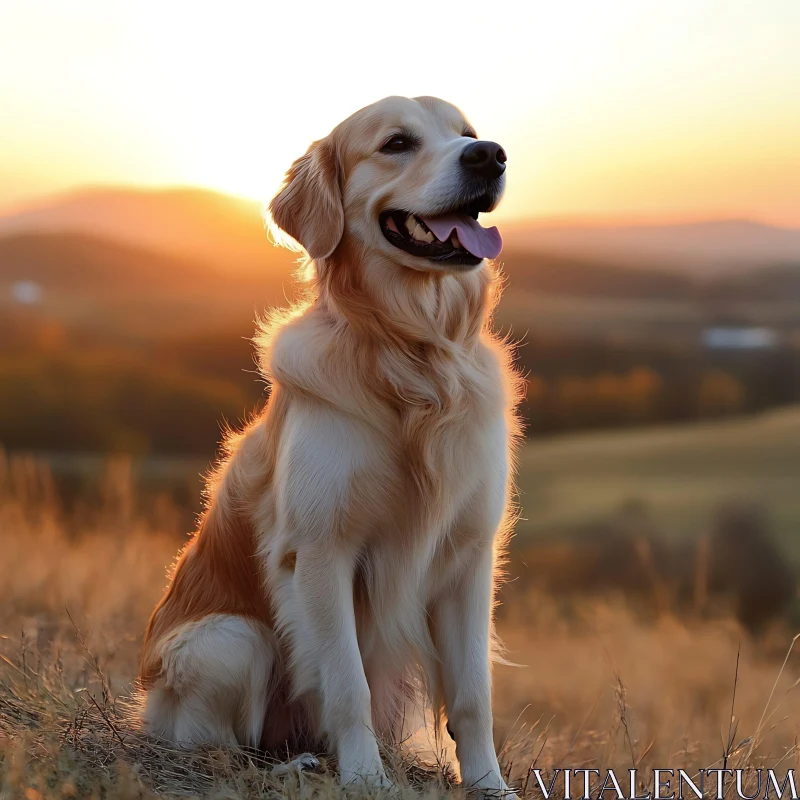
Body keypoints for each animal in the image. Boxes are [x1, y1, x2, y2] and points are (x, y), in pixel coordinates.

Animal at [138, 95, 520, 792]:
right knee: (222, 746)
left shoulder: (469, 557)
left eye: (468, 134)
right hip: (228, 640)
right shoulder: (321, 551)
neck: (412, 356)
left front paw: (489, 786)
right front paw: (366, 778)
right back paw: (299, 761)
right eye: (396, 143)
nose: (490, 156)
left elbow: (473, 695)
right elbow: (348, 684)